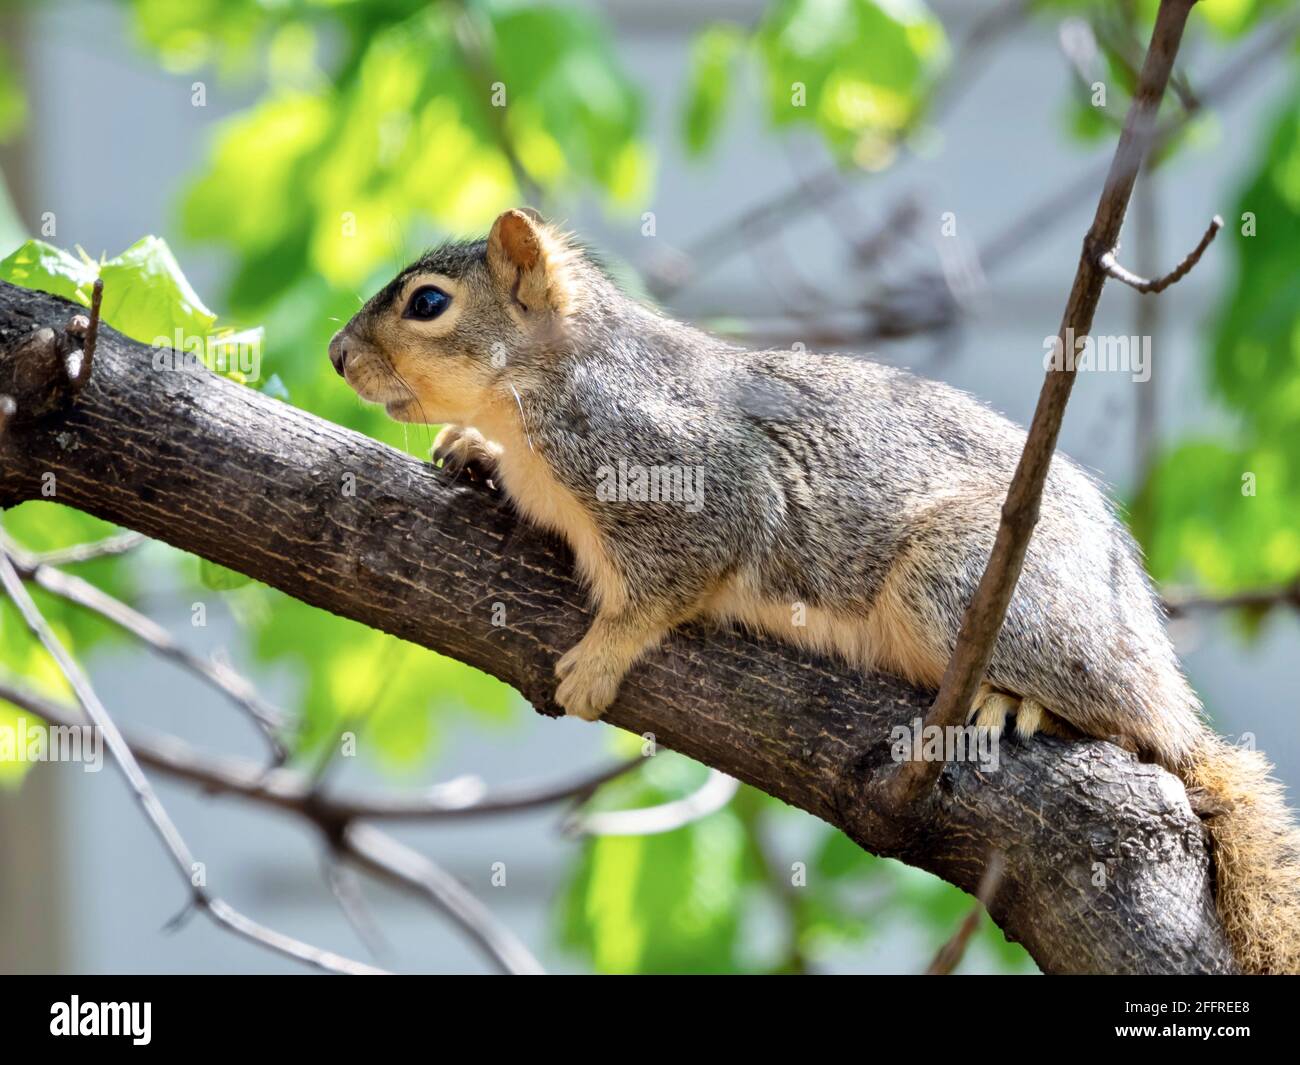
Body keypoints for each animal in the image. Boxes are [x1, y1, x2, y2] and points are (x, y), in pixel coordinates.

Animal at [332, 206, 1300, 972]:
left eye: (428, 304)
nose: (338, 355)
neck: (544, 381)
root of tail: (1159, 672)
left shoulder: (686, 476)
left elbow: (668, 585)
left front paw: (601, 658)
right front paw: (470, 450)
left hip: (965, 583)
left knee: (1127, 723)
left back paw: (1020, 702)